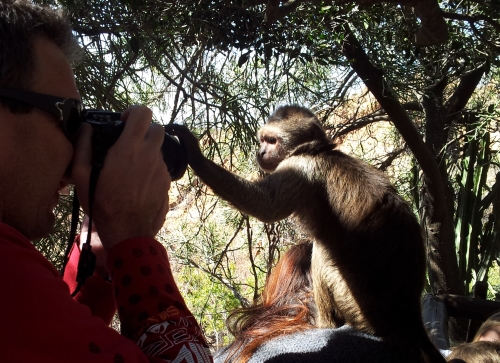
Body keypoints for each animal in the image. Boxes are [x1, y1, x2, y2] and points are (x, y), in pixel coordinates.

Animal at [164, 104, 446, 362]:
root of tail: (408, 319)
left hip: (359, 308)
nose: (260, 151)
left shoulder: (300, 168)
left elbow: (265, 206)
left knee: (322, 252)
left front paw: (195, 155)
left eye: (271, 140)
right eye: (262, 140)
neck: (317, 151)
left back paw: (324, 323)